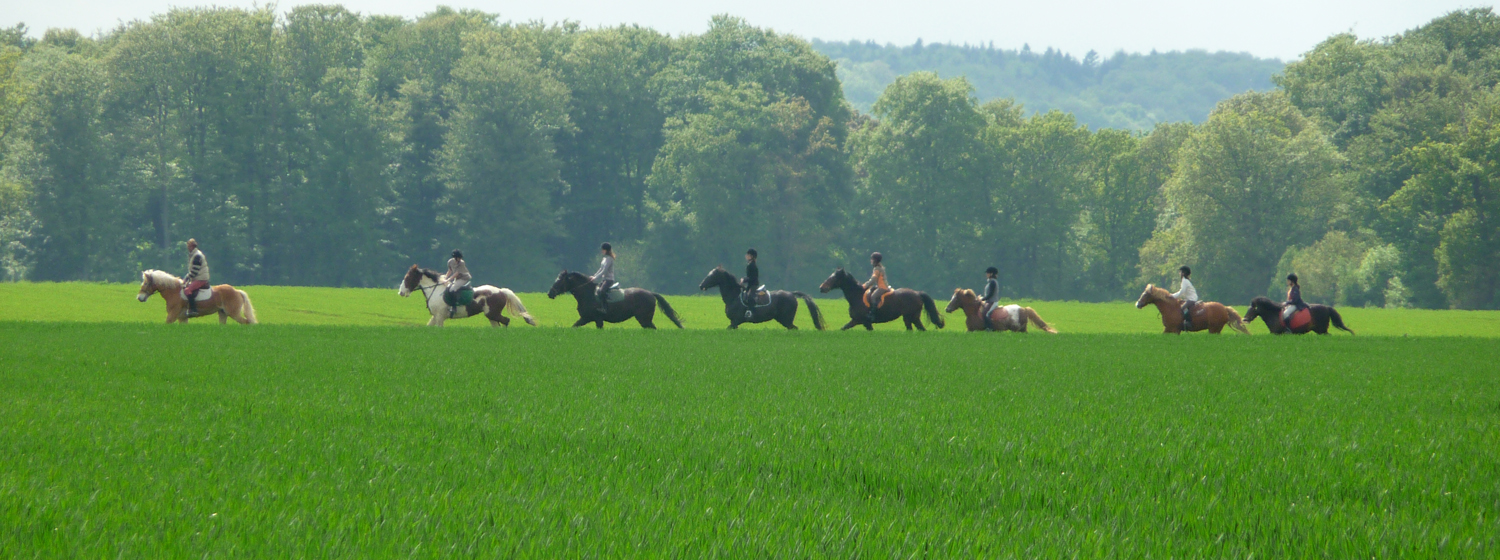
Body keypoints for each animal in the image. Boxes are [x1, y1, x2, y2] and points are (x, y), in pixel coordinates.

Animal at [399, 262, 540, 325]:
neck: (435, 290)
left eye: (407, 278)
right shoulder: (435, 316)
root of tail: (501, 291)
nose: (401, 292)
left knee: (506, 321)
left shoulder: (440, 316)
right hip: (491, 316)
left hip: (492, 314)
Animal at [546, 268, 687, 327]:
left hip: (644, 319)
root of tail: (651, 293)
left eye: (560, 281)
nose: (550, 293)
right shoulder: (585, 318)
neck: (587, 294)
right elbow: (573, 327)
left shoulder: (597, 319)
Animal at [696, 265, 828, 327]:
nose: (701, 285)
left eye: (711, 275)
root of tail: (792, 294)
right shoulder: (735, 323)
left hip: (786, 320)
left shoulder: (735, 321)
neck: (734, 297)